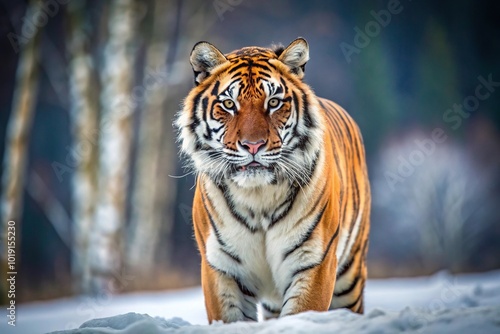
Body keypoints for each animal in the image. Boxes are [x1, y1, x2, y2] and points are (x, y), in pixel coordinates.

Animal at [176, 37, 372, 324]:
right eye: (229, 104)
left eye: (274, 102)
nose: (253, 145)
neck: (258, 196)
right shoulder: (221, 267)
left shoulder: (314, 262)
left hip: (350, 277)